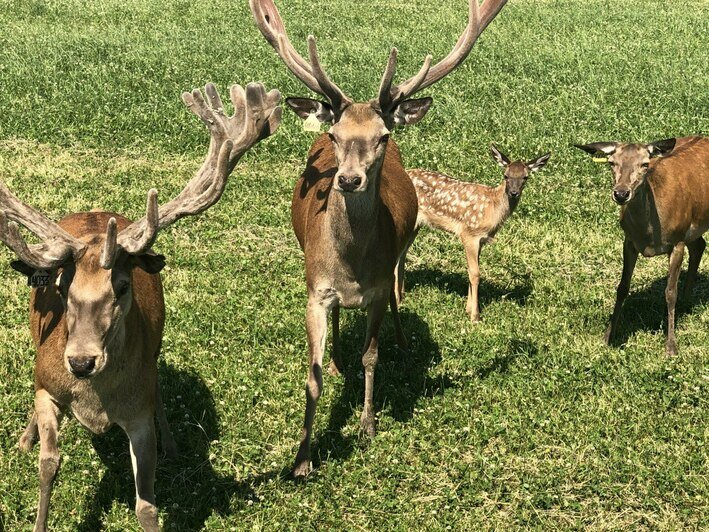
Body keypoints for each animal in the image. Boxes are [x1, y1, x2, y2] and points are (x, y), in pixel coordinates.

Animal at [0, 83, 282, 532]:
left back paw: (173, 443)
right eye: (61, 286)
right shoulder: (47, 388)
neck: (94, 403)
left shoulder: (137, 414)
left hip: (157, 347)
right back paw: (25, 438)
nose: (81, 361)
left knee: (159, 386)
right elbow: (48, 466)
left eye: (122, 285)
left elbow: (146, 504)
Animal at [249, 0, 508, 478]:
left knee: (397, 296)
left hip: (395, 263)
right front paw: (302, 458)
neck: (351, 265)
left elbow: (371, 355)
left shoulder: (375, 288)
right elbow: (311, 374)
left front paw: (368, 425)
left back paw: (403, 341)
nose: (349, 179)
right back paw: (337, 360)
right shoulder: (315, 290)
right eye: (335, 135)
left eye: (382, 136)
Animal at [576, 135, 708, 356]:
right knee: (699, 245)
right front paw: (608, 336)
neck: (649, 235)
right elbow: (622, 287)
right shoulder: (629, 241)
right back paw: (686, 301)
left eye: (645, 164)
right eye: (612, 163)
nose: (621, 193)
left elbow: (670, 293)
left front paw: (671, 346)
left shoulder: (678, 239)